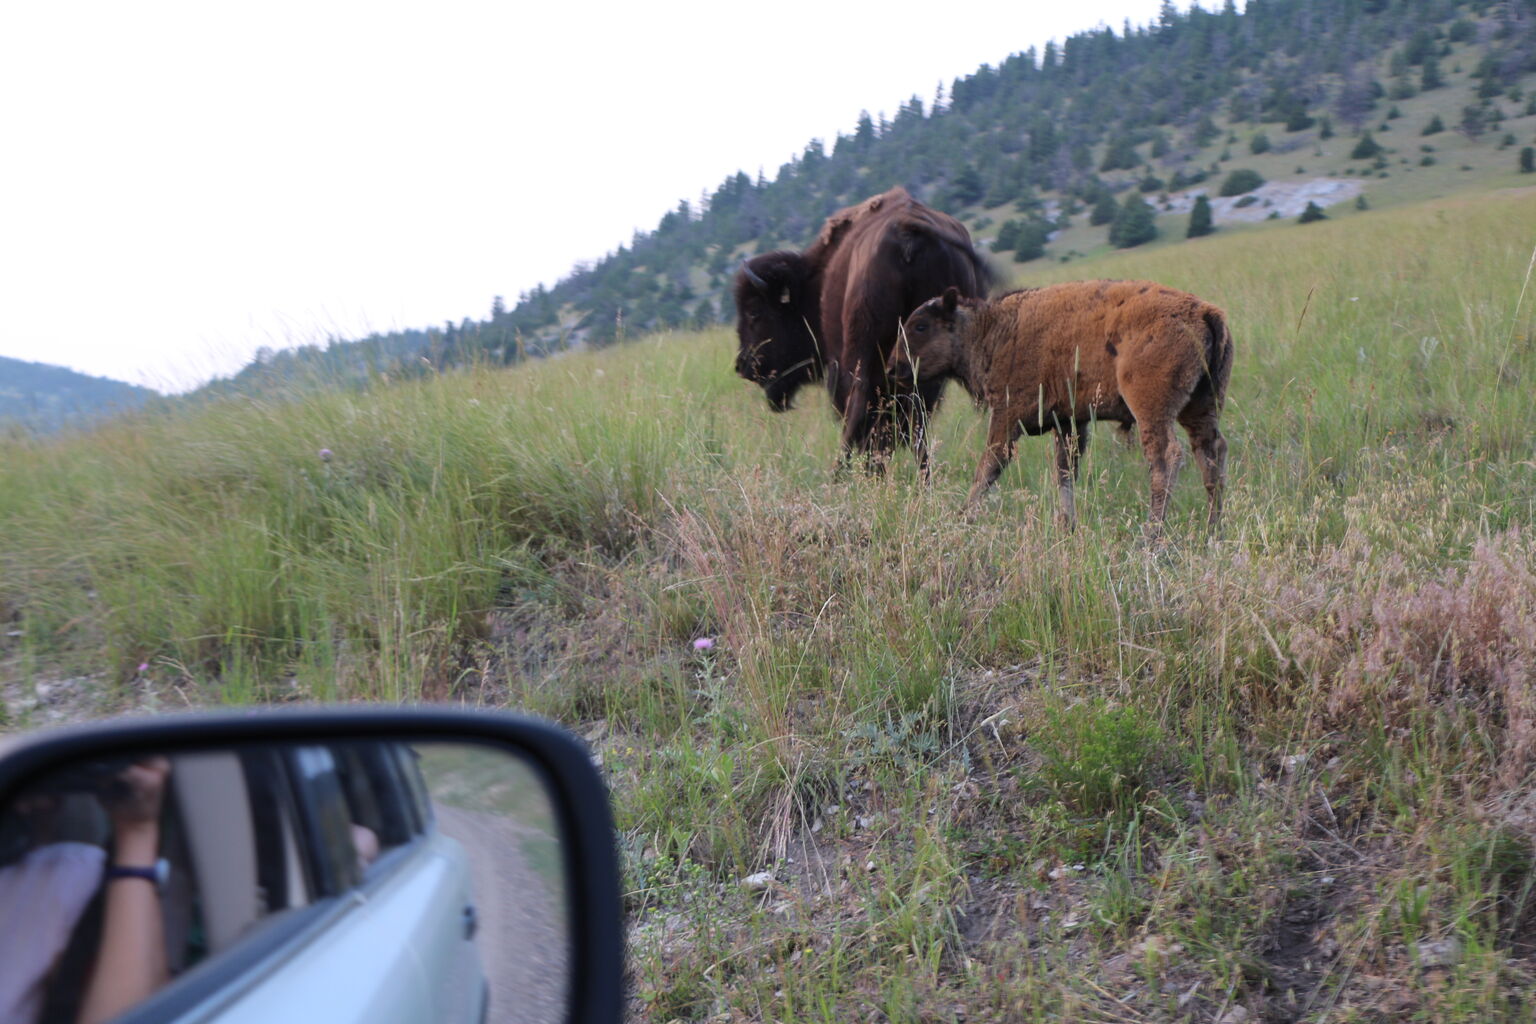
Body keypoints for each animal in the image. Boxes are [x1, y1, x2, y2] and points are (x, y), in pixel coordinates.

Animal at [734, 186, 995, 466]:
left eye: (754, 312)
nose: (743, 366)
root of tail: (909, 232)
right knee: (917, 419)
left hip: (863, 357)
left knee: (864, 413)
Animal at [890, 280, 1234, 537]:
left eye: (920, 326)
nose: (893, 367)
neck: (992, 330)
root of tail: (1204, 312)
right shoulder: (1069, 423)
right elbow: (1065, 472)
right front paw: (1067, 526)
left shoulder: (1006, 417)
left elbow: (987, 468)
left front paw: (962, 517)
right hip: (1200, 408)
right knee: (1211, 455)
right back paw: (1212, 530)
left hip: (1152, 411)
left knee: (1166, 458)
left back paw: (1151, 536)